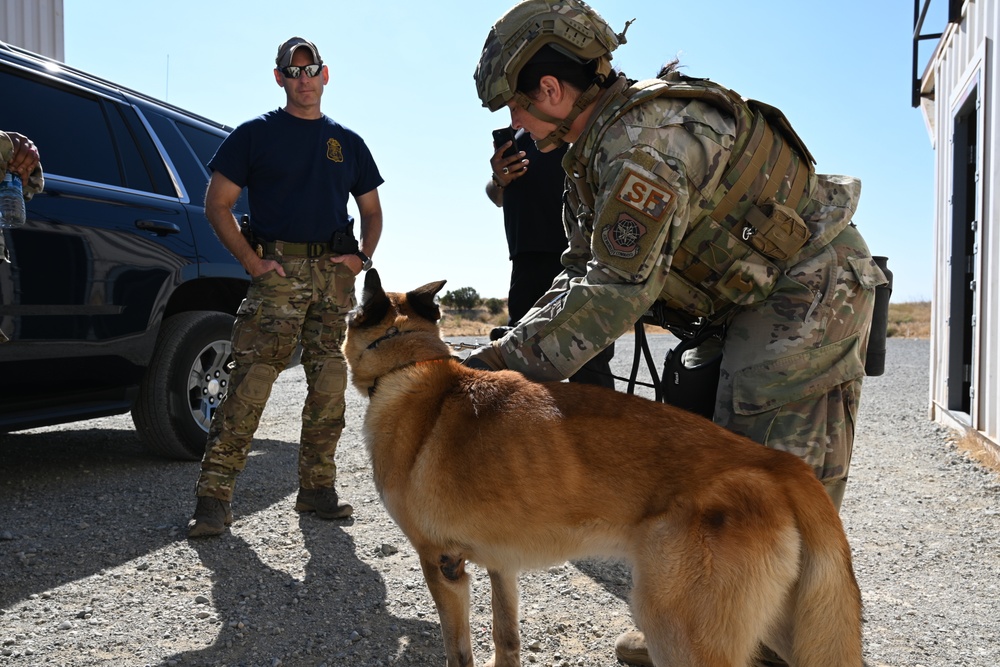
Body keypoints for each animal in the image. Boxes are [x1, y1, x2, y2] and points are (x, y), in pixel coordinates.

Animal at [342, 270, 860, 667]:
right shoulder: (500, 565)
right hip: (794, 627)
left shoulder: (442, 566)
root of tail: (778, 463)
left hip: (678, 631)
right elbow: (506, 639)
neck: (412, 366)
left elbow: (458, 651)